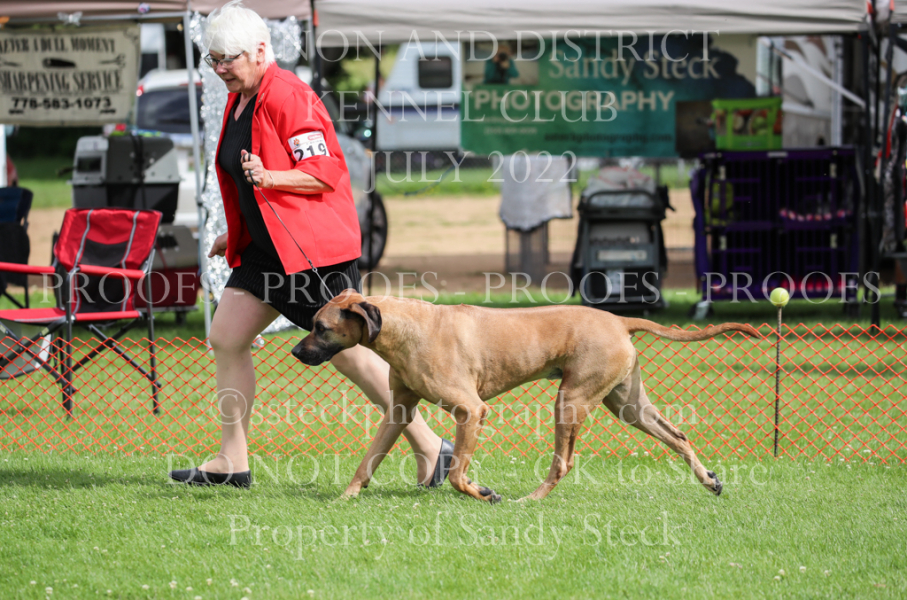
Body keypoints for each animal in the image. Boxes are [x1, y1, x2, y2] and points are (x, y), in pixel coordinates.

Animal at [292, 290, 759, 504]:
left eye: (321, 327)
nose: (295, 352)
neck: (408, 327)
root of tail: (619, 320)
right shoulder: (399, 410)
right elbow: (367, 460)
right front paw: (346, 497)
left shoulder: (471, 410)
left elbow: (458, 474)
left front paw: (483, 493)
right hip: (628, 405)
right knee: (678, 437)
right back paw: (708, 479)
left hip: (570, 401)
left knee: (563, 462)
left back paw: (530, 500)